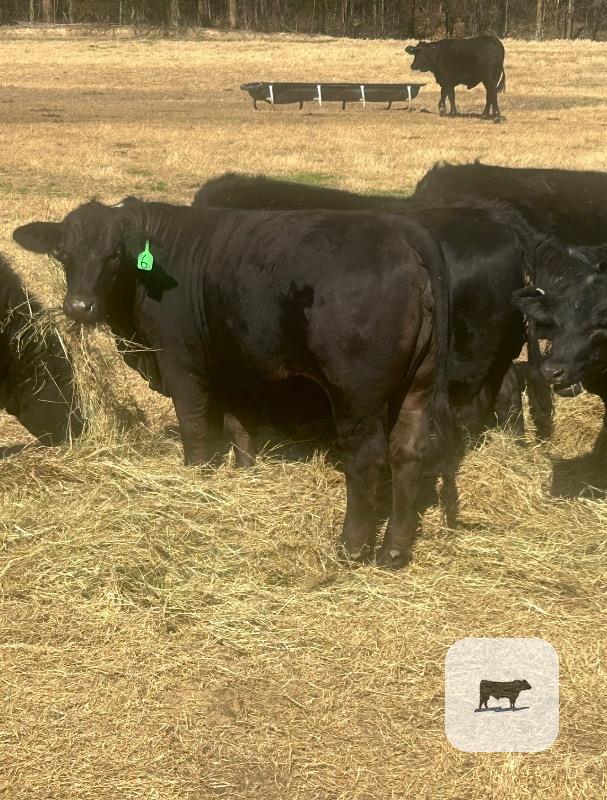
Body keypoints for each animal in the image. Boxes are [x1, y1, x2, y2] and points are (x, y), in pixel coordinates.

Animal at [13, 199, 463, 569]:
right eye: (62, 254)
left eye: (114, 254)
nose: (79, 307)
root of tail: (402, 231)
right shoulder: (229, 363)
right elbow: (238, 423)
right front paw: (245, 470)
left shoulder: (181, 365)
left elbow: (196, 430)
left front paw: (195, 479)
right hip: (418, 385)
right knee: (409, 452)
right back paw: (394, 551)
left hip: (356, 394)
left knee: (366, 458)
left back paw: (352, 547)